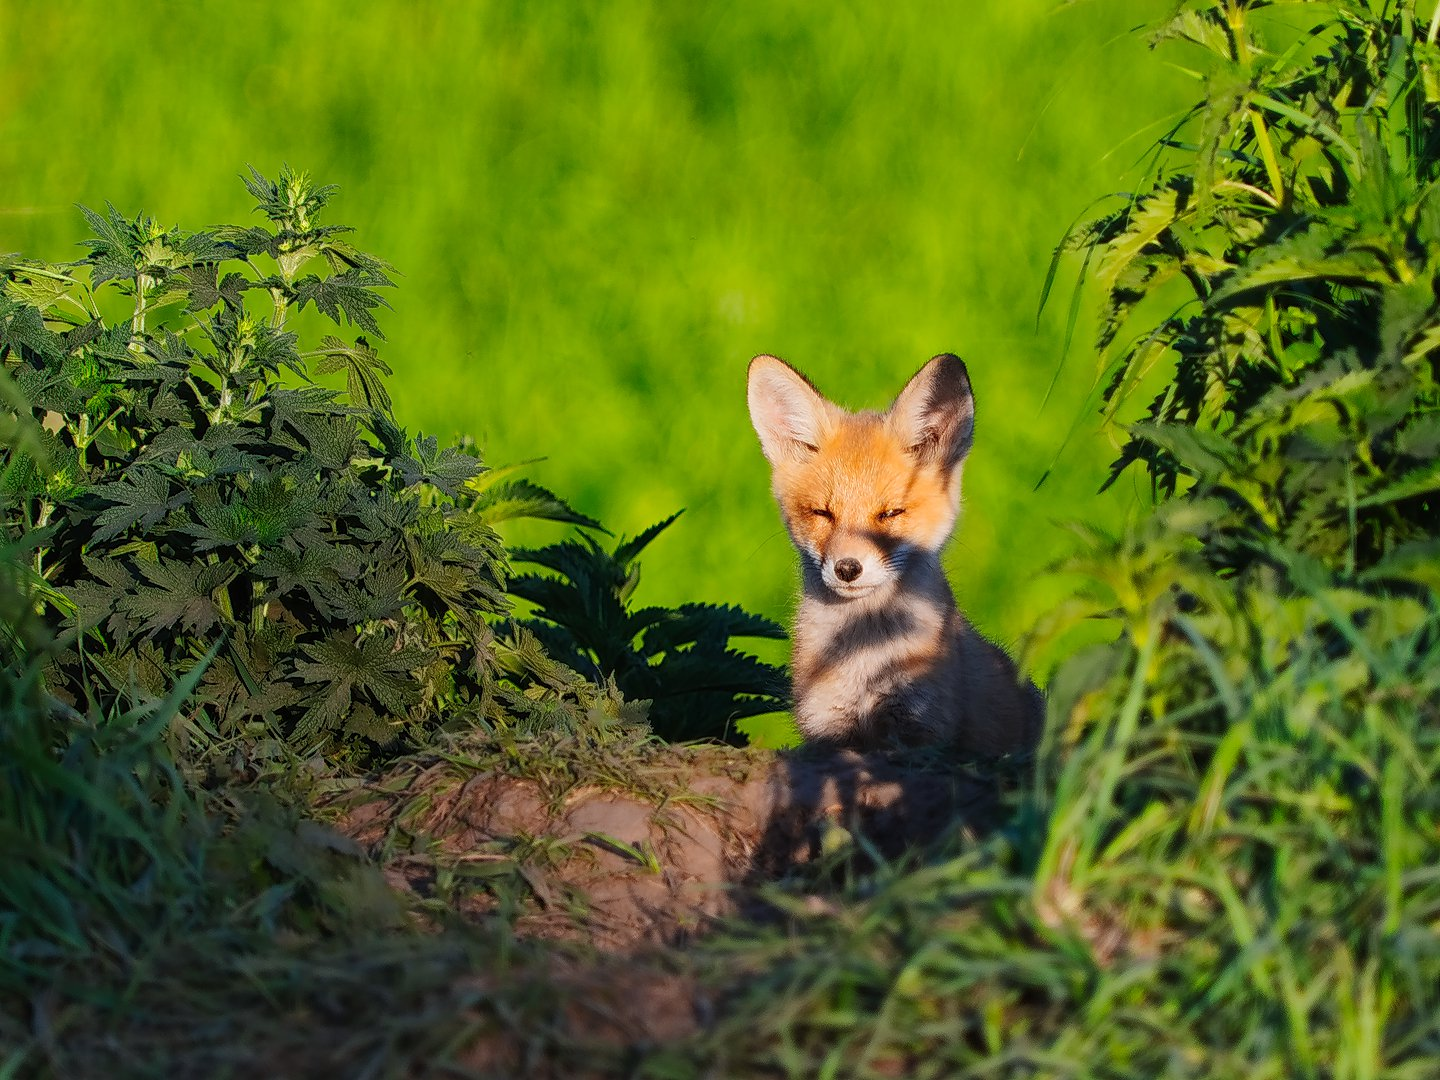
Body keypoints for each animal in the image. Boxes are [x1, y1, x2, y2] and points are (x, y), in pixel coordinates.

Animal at [748, 357, 1042, 760]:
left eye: (889, 514)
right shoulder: (829, 728)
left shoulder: (919, 728)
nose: (847, 569)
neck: (864, 656)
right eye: (823, 513)